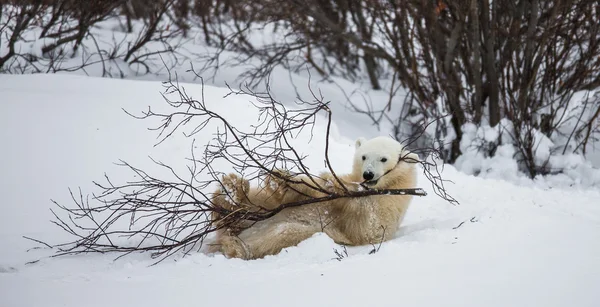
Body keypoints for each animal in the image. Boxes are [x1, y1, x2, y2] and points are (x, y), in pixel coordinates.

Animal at [209, 137, 420, 260]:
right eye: (364, 156)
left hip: (303, 233)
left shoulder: (392, 203)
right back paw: (230, 191)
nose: (367, 174)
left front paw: (334, 185)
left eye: (383, 159)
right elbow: (306, 189)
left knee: (282, 233)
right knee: (256, 203)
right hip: (260, 209)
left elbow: (369, 223)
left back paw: (236, 246)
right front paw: (281, 178)